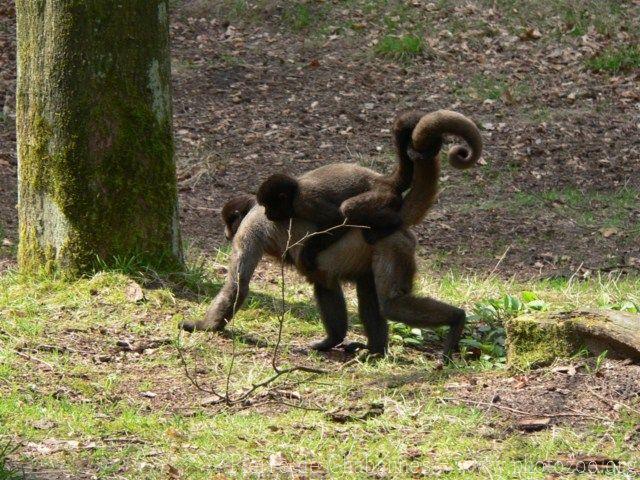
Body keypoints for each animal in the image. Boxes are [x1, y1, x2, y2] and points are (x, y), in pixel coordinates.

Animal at [182, 110, 482, 360]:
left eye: (229, 223)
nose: (225, 232)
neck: (256, 209)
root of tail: (396, 216)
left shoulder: (248, 230)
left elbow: (237, 286)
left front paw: (201, 326)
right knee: (353, 288)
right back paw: (368, 348)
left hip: (391, 244)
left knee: (390, 303)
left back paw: (456, 319)